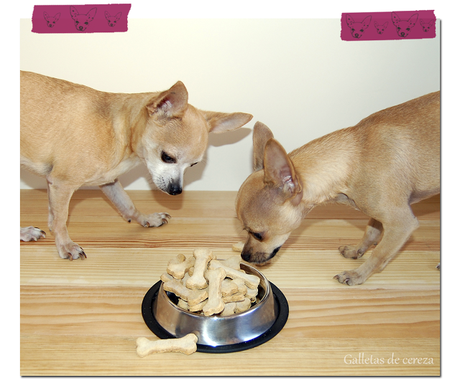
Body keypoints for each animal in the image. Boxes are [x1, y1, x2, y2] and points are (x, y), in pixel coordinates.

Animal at [21, 70, 252, 260]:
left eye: (193, 165)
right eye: (167, 157)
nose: (176, 190)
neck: (119, 130)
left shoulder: (108, 182)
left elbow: (127, 206)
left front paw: (146, 219)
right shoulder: (61, 184)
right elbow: (61, 219)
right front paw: (65, 245)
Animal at [235, 92, 440, 284]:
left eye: (258, 234)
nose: (244, 255)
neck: (356, 159)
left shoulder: (401, 224)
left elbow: (379, 254)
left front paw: (358, 274)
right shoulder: (377, 212)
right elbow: (371, 231)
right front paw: (357, 250)